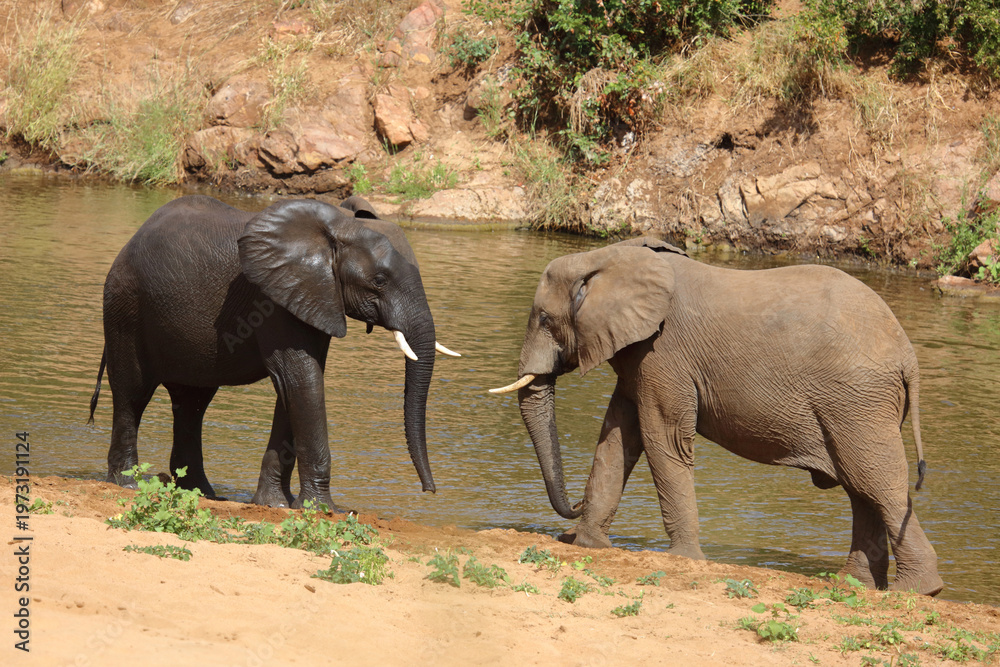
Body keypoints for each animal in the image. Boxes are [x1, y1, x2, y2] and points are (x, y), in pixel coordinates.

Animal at [89, 194, 458, 509]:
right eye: (379, 280)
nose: (429, 491)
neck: (336, 228)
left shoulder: (313, 297)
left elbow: (295, 388)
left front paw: (276, 505)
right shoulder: (273, 300)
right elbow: (301, 381)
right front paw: (322, 510)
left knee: (192, 403)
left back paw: (204, 494)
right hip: (125, 306)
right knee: (132, 393)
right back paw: (128, 484)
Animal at [491, 237, 943, 596]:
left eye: (545, 319)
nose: (574, 507)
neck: (606, 256)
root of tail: (908, 355)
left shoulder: (664, 352)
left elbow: (663, 438)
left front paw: (683, 559)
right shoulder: (639, 355)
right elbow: (618, 438)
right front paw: (585, 544)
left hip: (857, 400)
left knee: (876, 481)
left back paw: (917, 591)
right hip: (856, 404)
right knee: (860, 488)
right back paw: (853, 585)